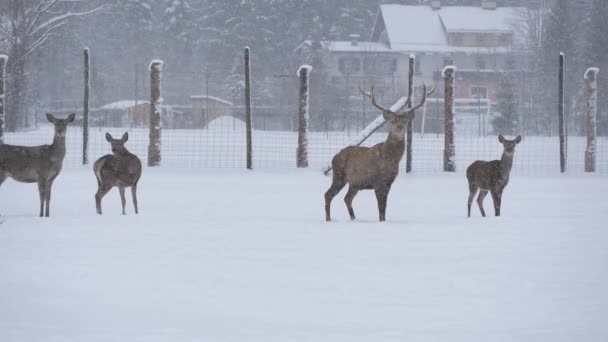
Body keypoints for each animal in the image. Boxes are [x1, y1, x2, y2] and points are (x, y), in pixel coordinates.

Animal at [324, 85, 432, 222]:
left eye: (405, 120)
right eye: (392, 120)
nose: (399, 127)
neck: (391, 159)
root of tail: (334, 157)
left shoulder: (388, 183)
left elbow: (384, 207)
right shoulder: (377, 182)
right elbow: (380, 207)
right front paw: (381, 221)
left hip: (354, 184)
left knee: (347, 198)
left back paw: (354, 218)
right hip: (339, 176)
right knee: (328, 194)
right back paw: (328, 219)